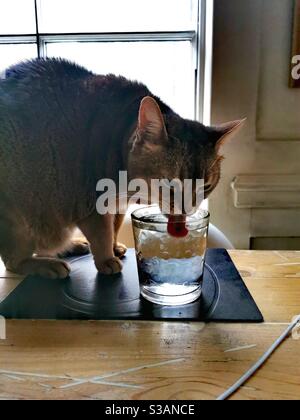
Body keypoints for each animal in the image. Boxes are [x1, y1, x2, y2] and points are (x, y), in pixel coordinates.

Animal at [0, 57, 244, 278]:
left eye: (207, 186)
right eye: (169, 183)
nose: (187, 209)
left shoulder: (118, 205)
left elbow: (114, 227)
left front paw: (114, 247)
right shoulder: (91, 202)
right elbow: (102, 233)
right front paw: (106, 259)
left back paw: (72, 246)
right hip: (18, 218)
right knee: (13, 262)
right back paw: (46, 264)